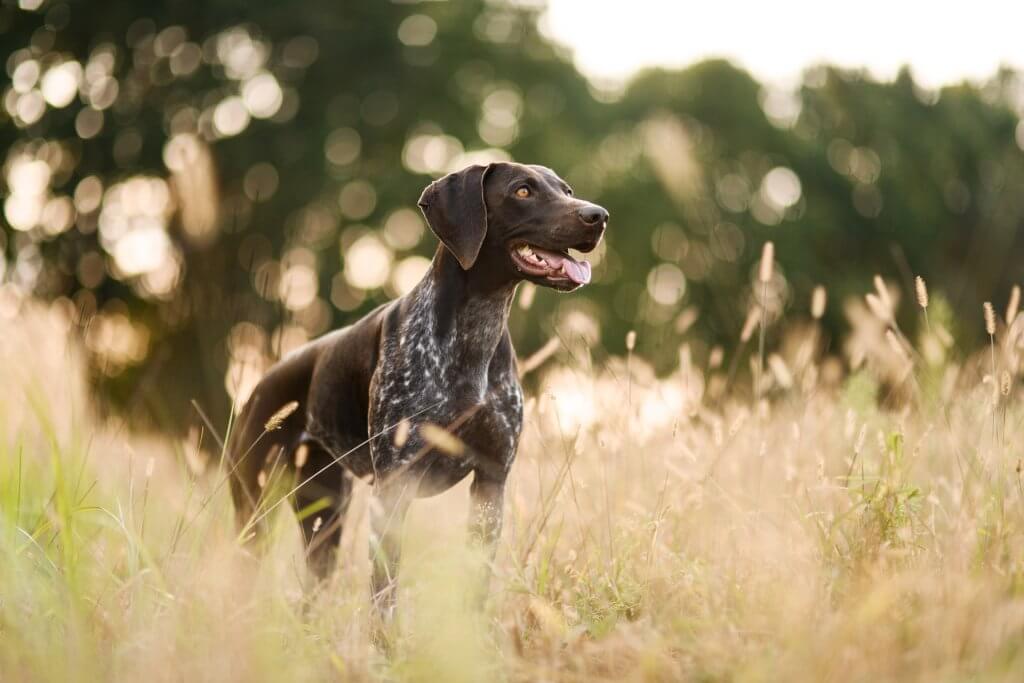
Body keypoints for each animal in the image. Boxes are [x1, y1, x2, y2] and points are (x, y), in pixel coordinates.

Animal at [226, 162, 606, 610]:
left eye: (567, 190)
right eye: (523, 191)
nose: (599, 215)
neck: (475, 334)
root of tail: (258, 386)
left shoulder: (490, 483)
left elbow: (475, 585)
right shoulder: (393, 489)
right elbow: (384, 597)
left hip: (324, 513)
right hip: (256, 512)